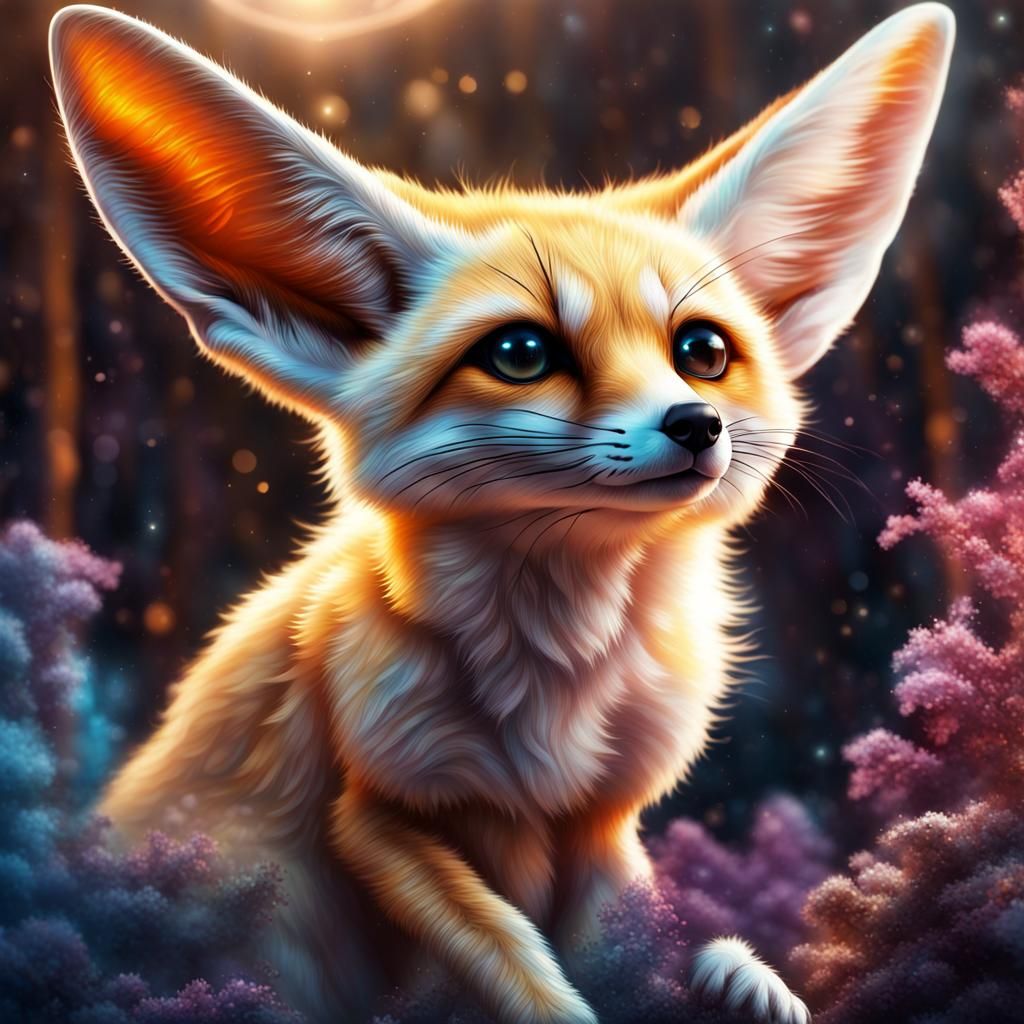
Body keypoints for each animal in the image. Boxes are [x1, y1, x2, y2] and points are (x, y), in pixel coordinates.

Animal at [49, 4, 953, 1023]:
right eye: (521, 353)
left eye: (703, 352)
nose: (695, 424)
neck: (557, 682)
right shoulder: (380, 817)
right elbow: (520, 961)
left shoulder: (603, 822)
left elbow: (628, 945)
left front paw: (733, 977)